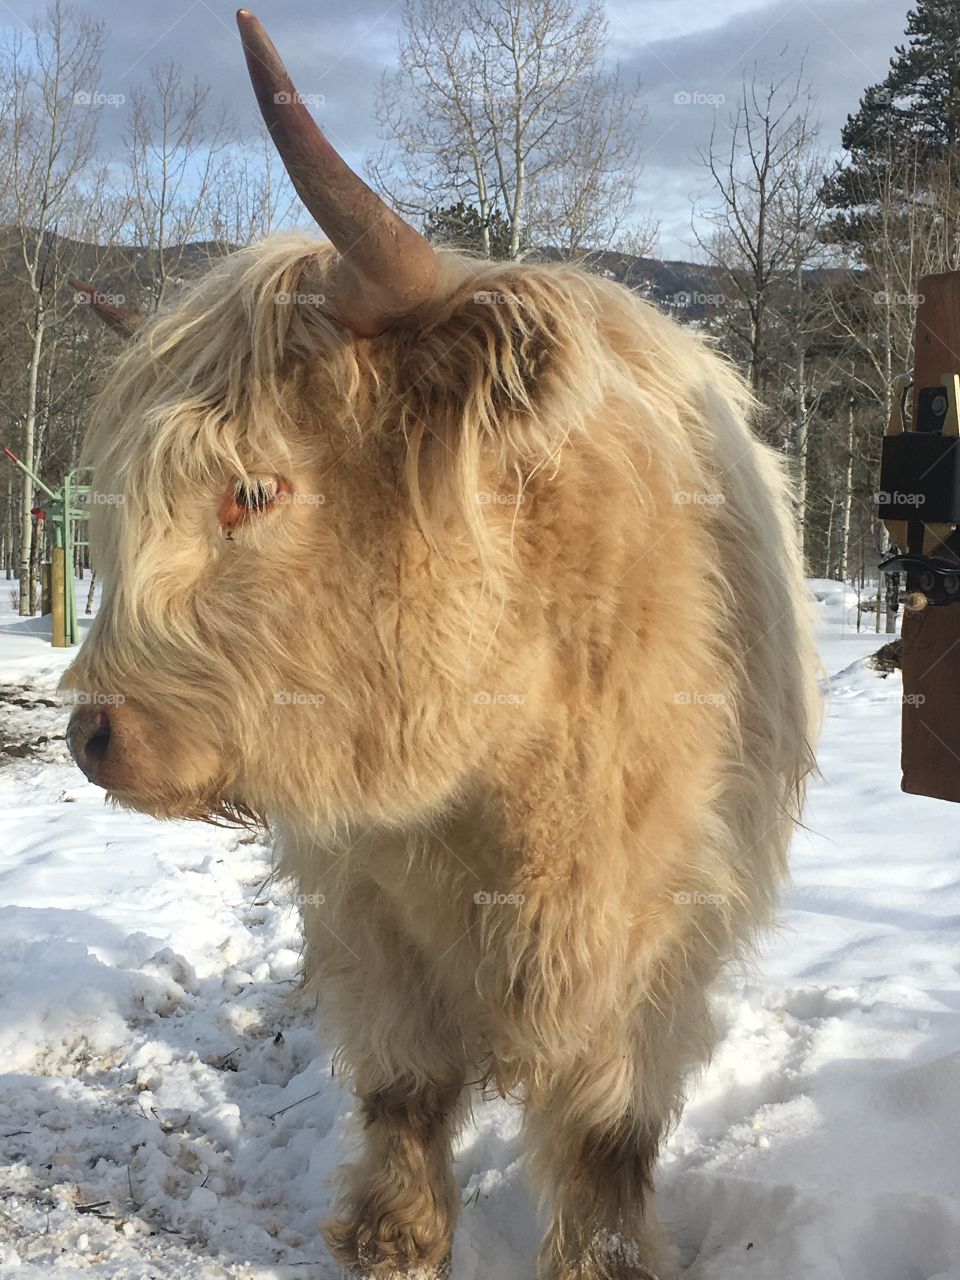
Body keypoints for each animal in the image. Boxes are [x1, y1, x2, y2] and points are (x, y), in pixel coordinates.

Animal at [62, 11, 819, 1279]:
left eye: (254, 488)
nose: (92, 731)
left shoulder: (642, 926)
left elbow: (607, 1129)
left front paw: (606, 1256)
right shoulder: (367, 908)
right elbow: (405, 1085)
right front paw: (393, 1236)